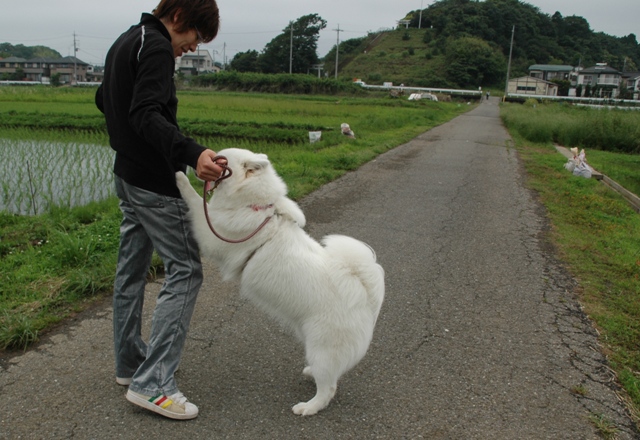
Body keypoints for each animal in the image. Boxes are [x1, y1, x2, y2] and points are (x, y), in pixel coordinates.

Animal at [175, 149, 384, 416]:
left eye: (221, 159)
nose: (200, 161)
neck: (256, 206)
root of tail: (365, 296)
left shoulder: (213, 236)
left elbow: (195, 202)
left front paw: (179, 177)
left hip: (322, 347)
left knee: (328, 389)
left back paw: (308, 407)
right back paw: (310, 374)